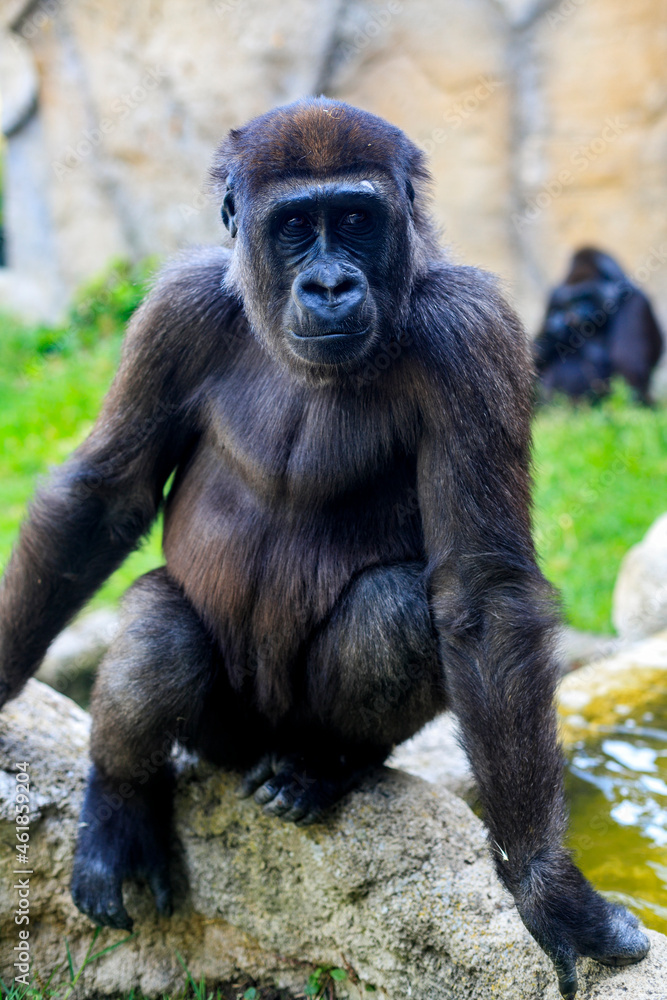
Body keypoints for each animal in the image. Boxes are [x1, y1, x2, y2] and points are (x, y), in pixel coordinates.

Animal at [0, 99, 648, 992]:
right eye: (294, 228)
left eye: (353, 219)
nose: (332, 285)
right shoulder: (178, 307)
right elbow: (102, 497)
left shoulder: (471, 331)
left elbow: (480, 596)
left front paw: (548, 892)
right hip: (226, 742)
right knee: (160, 632)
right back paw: (121, 802)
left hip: (291, 734)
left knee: (394, 610)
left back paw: (325, 768)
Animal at [532, 246, 664, 402]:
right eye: (572, 300)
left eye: (587, 295)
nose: (578, 310)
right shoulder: (554, 297)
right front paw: (555, 332)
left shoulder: (636, 304)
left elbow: (629, 370)